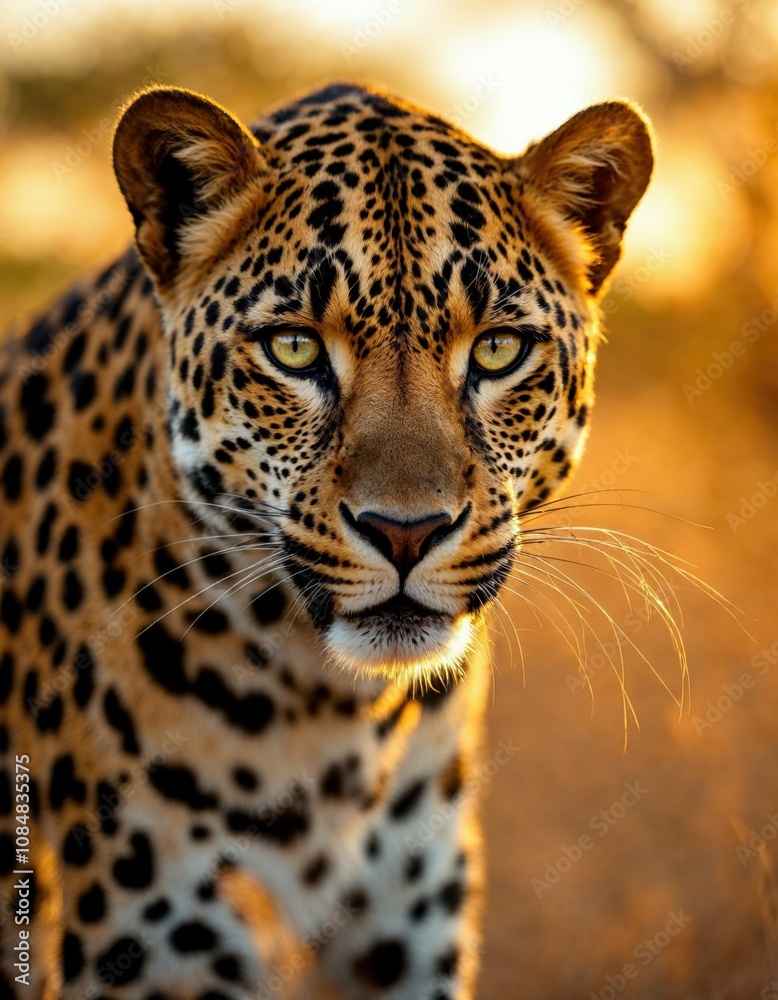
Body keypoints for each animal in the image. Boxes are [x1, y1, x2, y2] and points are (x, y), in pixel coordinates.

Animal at [0, 82, 653, 999]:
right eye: (294, 347)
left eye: (497, 349)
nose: (406, 531)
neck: (330, 710)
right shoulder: (160, 935)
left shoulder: (408, 915)